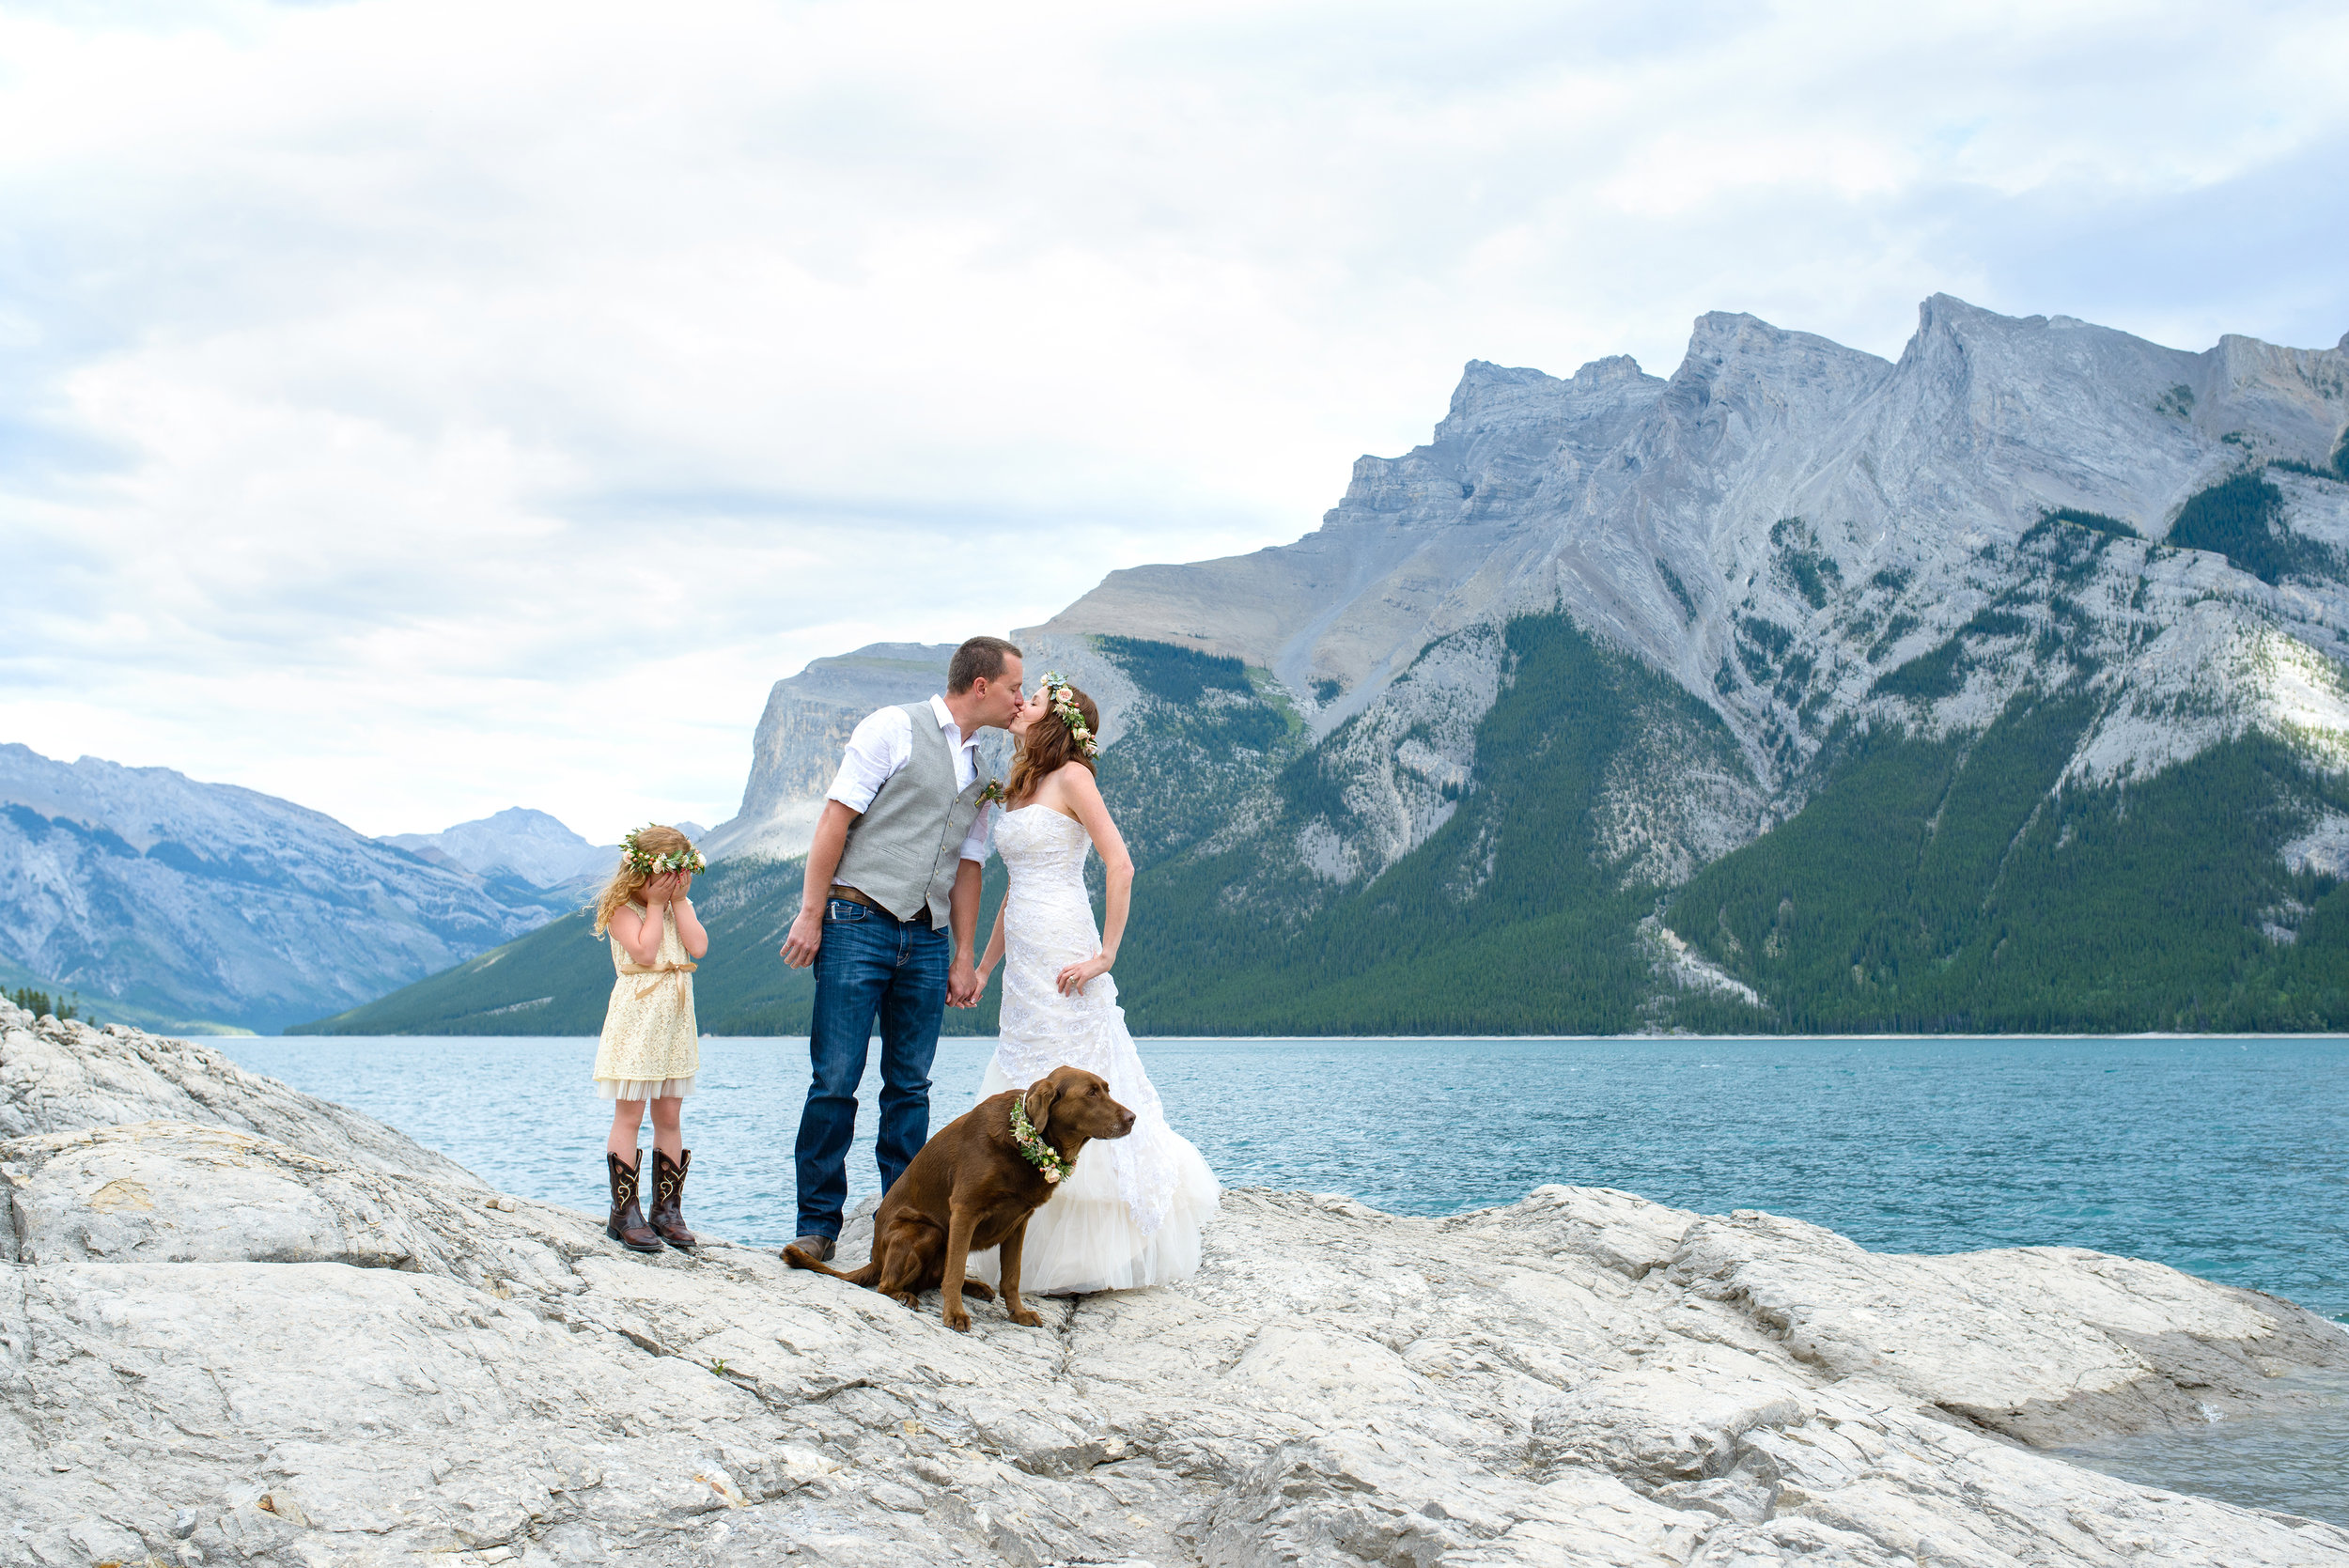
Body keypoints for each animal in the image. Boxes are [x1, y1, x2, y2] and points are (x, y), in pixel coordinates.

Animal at [785, 1061, 1132, 1333]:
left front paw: (1018, 1313)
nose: (1132, 1118)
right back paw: (905, 1296)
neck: (1024, 1138)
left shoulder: (1019, 1221)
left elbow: (1012, 1276)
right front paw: (954, 1314)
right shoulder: (965, 1209)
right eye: (1090, 1093)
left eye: (1107, 1088)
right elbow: (954, 1271)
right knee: (889, 1284)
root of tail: (876, 1258)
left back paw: (976, 1286)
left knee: (934, 1276)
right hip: (927, 1231)